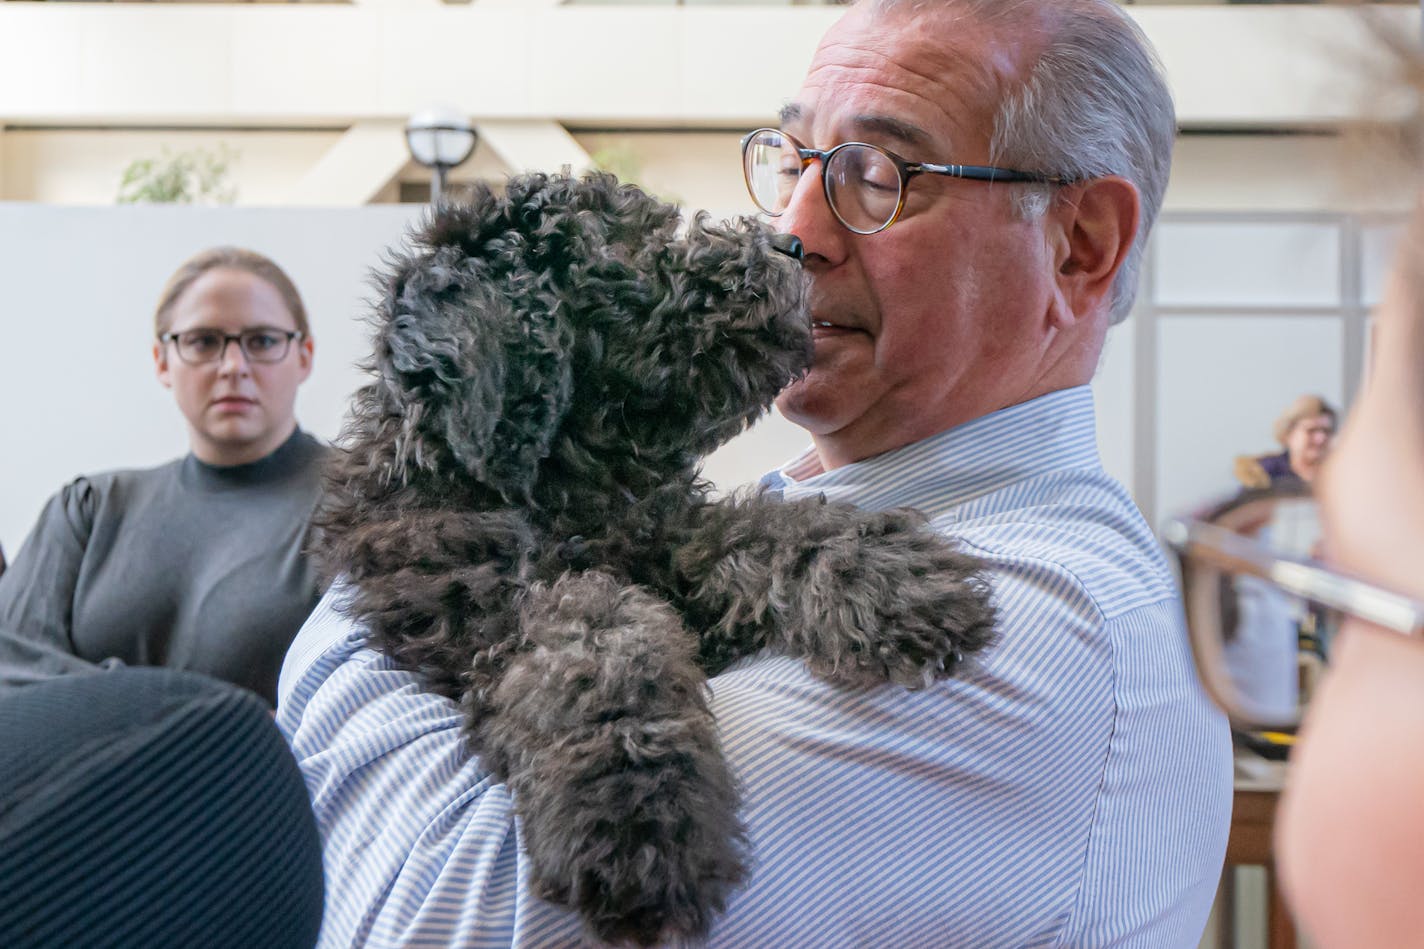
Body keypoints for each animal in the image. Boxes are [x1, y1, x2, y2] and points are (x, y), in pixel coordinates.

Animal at [317, 173, 996, 940]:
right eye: (623, 246)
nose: (790, 246)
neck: (569, 486)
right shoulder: (480, 615)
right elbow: (596, 639)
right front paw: (638, 810)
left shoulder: (669, 532)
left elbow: (756, 528)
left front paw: (886, 579)